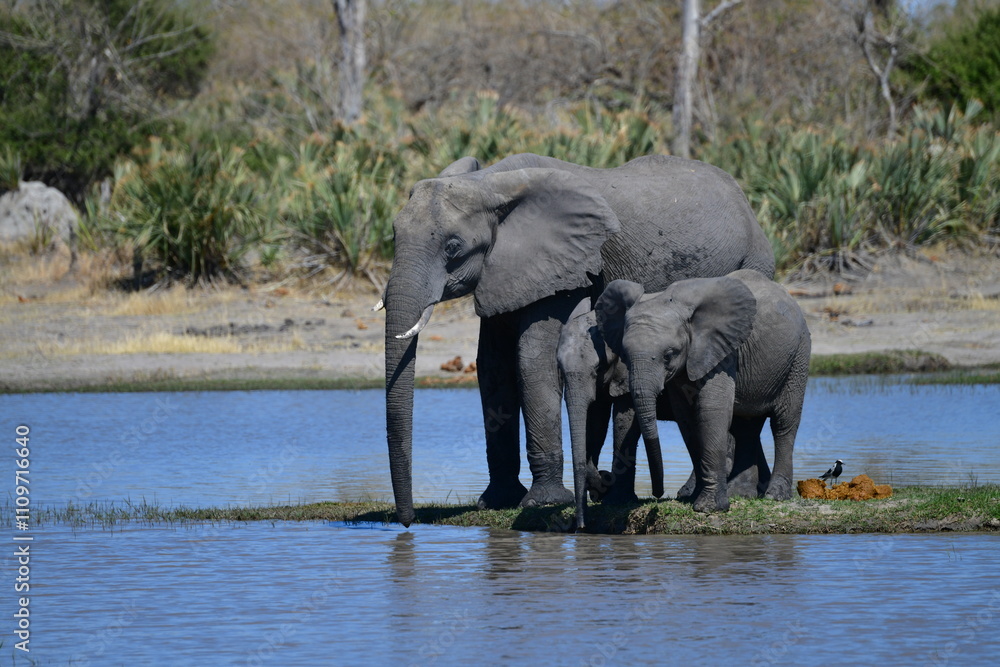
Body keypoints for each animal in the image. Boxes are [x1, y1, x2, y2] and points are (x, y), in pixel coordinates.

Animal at [558, 300, 776, 529]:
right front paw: (600, 487)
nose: (580, 526)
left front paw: (613, 497)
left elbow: (624, 420)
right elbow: (595, 423)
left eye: (598, 367)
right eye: (559, 368)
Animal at [595, 270, 811, 514]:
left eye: (669, 355)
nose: (657, 494)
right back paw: (740, 494)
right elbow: (686, 418)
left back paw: (775, 496)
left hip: (798, 357)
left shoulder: (722, 351)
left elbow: (711, 410)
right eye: (624, 354)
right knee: (746, 427)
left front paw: (708, 508)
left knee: (783, 423)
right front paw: (695, 498)